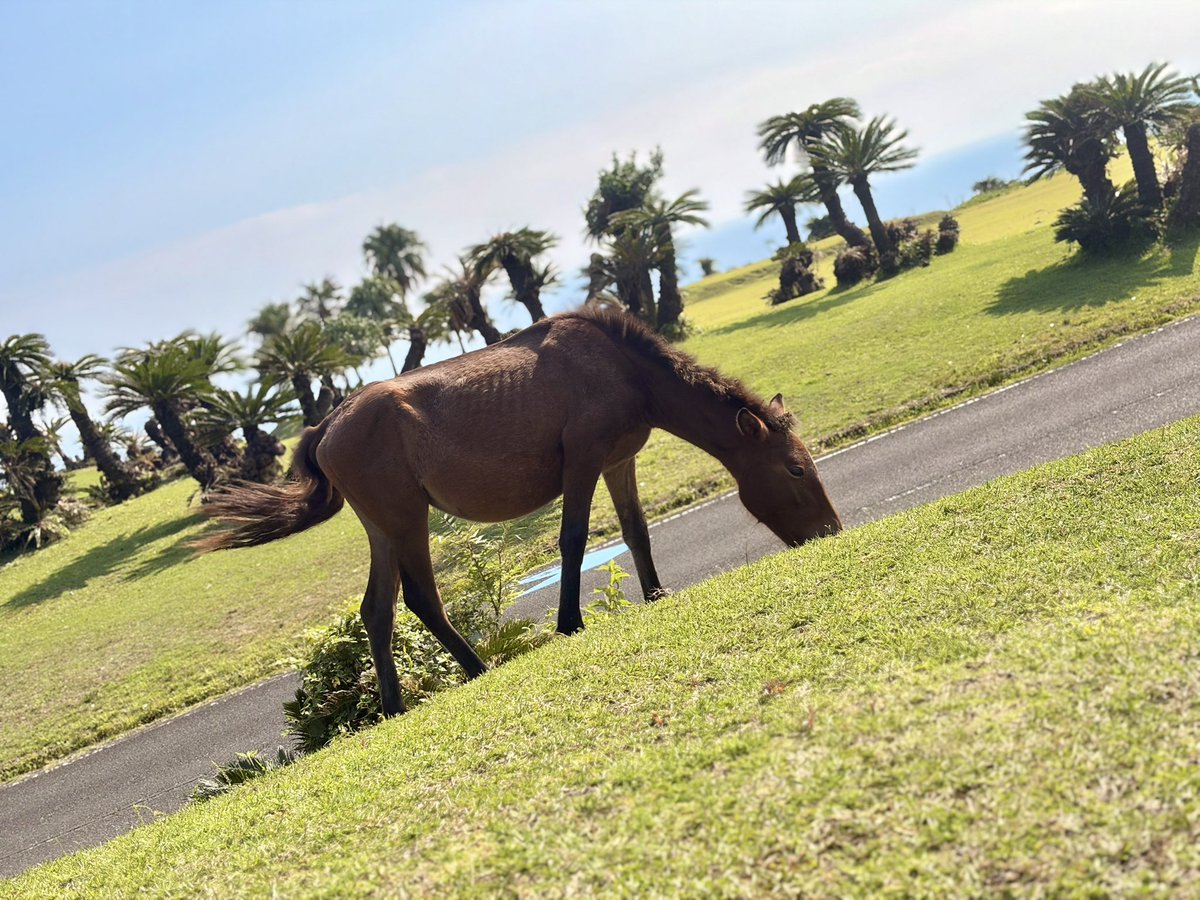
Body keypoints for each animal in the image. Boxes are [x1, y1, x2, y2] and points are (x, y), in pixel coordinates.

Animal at [198, 306, 842, 715]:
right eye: (794, 469)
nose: (831, 531)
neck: (627, 370)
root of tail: (327, 425)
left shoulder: (619, 462)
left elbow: (636, 532)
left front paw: (656, 593)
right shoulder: (582, 461)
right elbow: (574, 540)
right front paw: (569, 621)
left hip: (381, 526)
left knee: (376, 611)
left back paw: (394, 703)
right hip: (406, 517)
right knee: (420, 598)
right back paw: (476, 668)